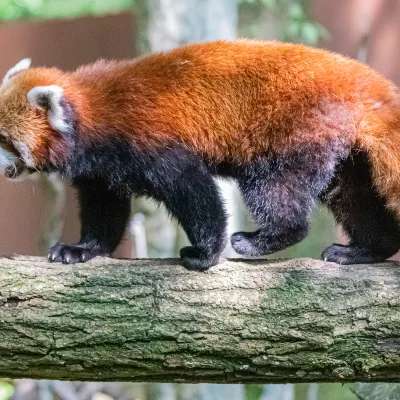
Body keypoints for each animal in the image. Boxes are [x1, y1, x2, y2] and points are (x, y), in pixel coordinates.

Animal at [0, 40, 400, 270]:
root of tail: (364, 82)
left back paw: (258, 240)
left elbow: (194, 190)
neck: (92, 116)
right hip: (348, 157)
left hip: (292, 131)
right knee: (355, 199)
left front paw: (205, 253)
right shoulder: (100, 172)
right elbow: (104, 211)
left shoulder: (148, 141)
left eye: (5, 140)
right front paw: (82, 249)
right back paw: (365, 250)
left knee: (277, 191)